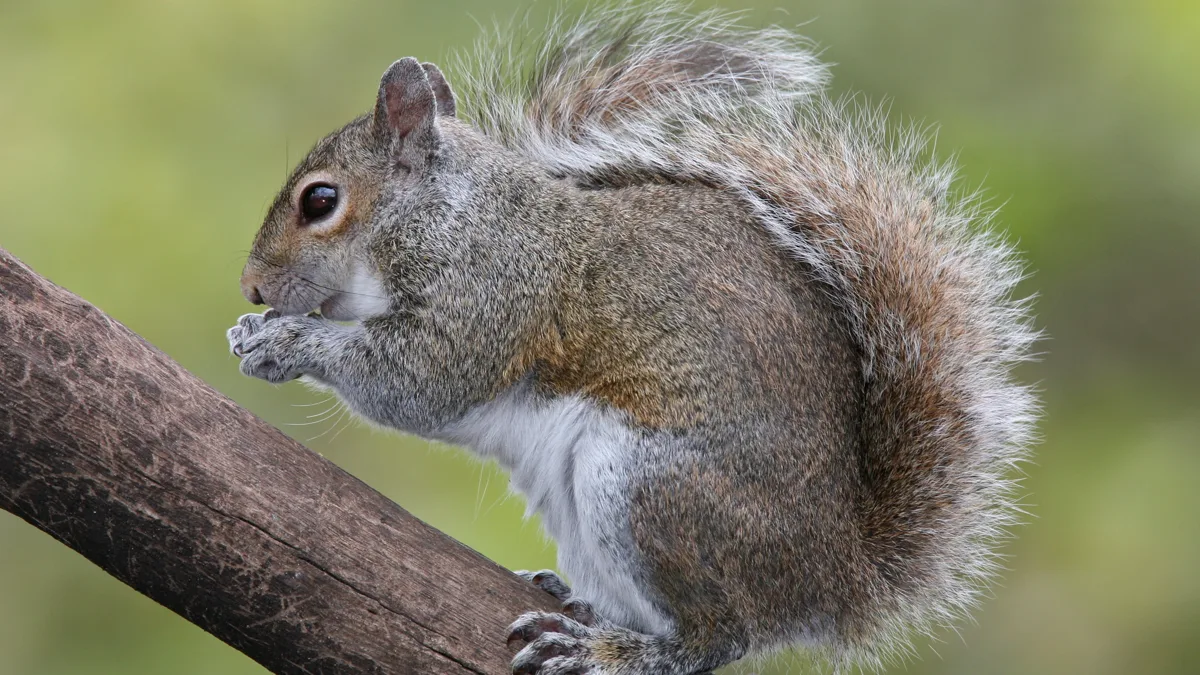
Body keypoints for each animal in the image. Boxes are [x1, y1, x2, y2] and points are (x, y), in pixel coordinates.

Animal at [226, 5, 1037, 674]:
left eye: (320, 201)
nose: (252, 288)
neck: (450, 215)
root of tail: (838, 578)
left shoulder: (491, 297)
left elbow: (415, 381)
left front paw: (288, 343)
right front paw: (252, 331)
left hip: (648, 488)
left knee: (720, 637)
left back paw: (610, 652)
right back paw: (576, 599)